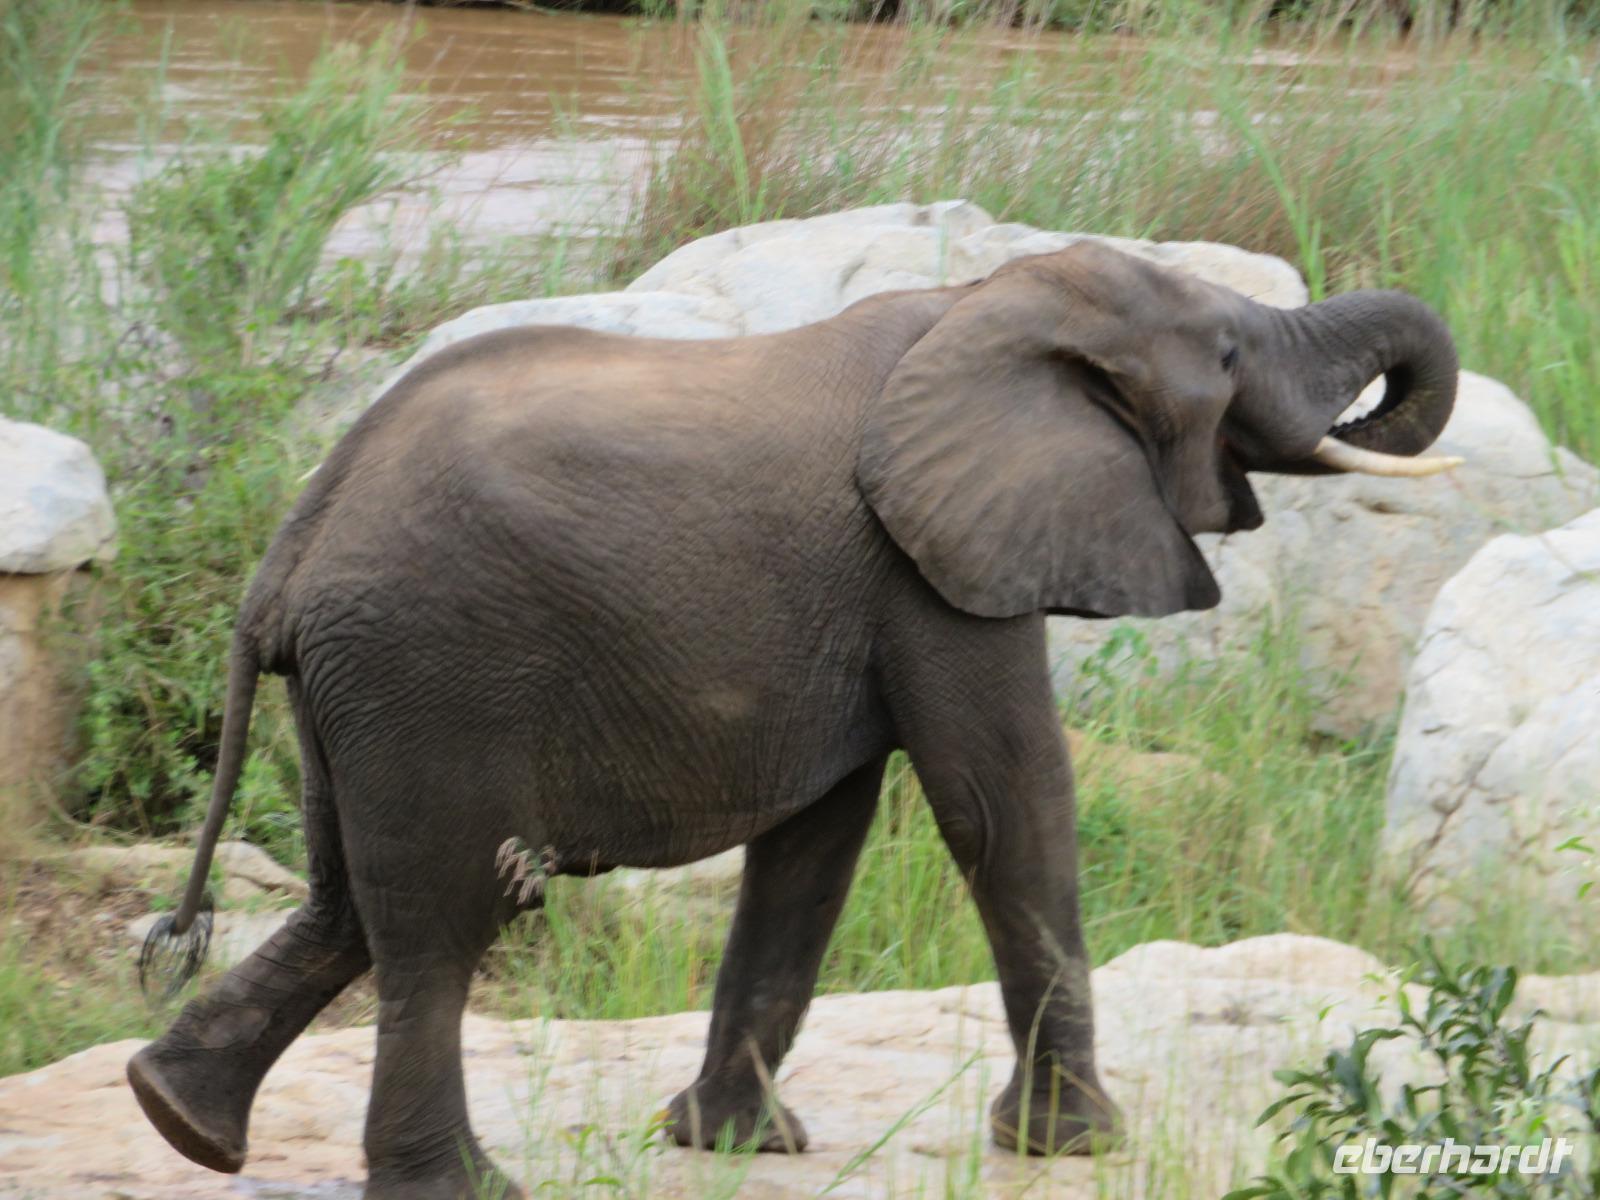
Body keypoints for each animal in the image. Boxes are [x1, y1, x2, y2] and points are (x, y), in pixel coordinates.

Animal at [126, 240, 1459, 1199]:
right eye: (1228, 352)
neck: (982, 302)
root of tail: (290, 549)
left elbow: (816, 844)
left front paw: (729, 1147)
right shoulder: (928, 568)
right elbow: (1003, 804)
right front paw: (1077, 1147)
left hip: (358, 690)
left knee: (349, 901)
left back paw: (177, 1121)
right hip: (429, 669)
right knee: (442, 924)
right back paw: (458, 1187)